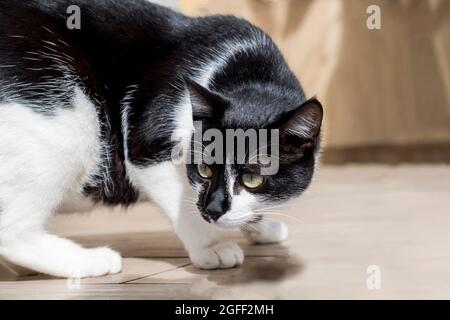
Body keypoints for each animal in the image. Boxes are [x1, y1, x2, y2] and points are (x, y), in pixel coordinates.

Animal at [0, 0, 324, 278]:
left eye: (253, 179)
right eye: (203, 169)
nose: (212, 210)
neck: (246, 70)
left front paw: (260, 227)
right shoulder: (147, 150)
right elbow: (182, 207)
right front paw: (211, 246)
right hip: (68, 118)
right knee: (10, 230)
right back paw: (88, 261)